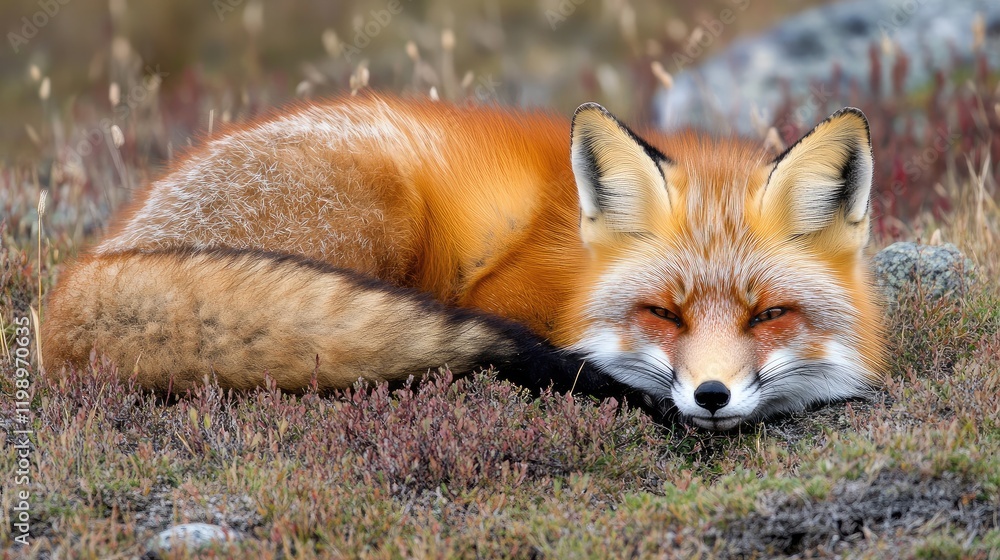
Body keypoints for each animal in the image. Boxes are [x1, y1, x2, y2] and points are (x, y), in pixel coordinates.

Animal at [42, 94, 885, 430]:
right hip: (382, 211)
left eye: (769, 314)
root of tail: (79, 277)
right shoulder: (504, 298)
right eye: (662, 314)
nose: (711, 395)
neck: (574, 272)